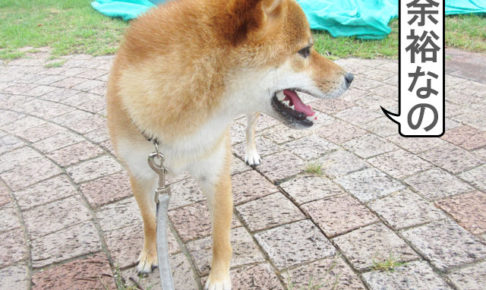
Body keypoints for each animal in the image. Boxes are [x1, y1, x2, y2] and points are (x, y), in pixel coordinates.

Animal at [105, 0, 354, 286]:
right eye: (304, 51)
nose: (350, 77)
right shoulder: (141, 174)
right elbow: (149, 221)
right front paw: (149, 254)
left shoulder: (216, 176)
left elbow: (220, 238)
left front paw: (219, 278)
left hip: (252, 115)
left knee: (249, 128)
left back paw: (251, 152)